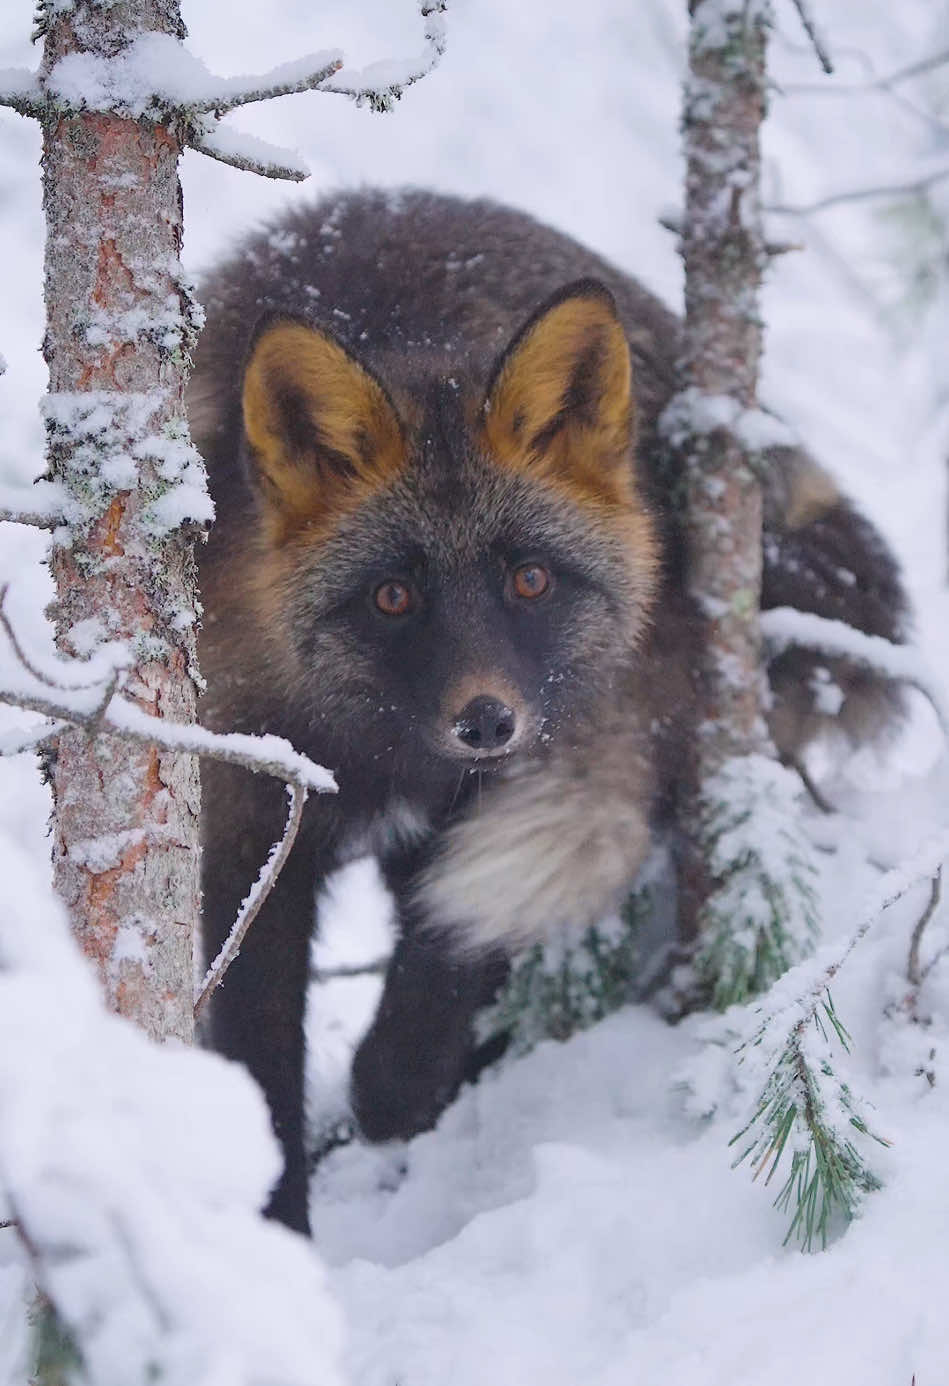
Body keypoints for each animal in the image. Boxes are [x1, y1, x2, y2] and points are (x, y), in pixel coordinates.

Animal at [188, 187, 908, 1236]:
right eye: (392, 598)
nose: (486, 722)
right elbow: (256, 1065)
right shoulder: (248, 831)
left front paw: (394, 1099)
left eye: (528, 580)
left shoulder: (493, 808)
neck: (380, 758)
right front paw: (270, 1234)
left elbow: (429, 1008)